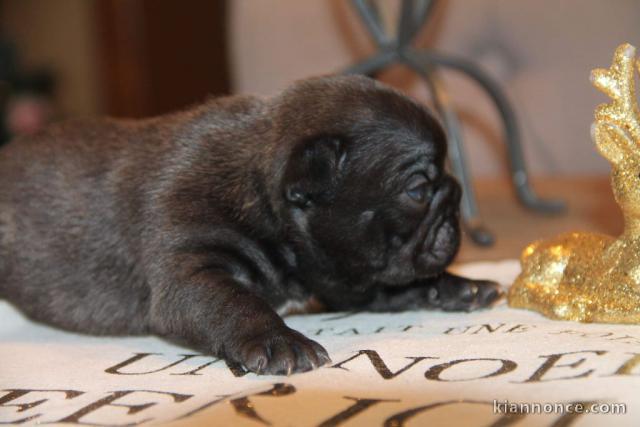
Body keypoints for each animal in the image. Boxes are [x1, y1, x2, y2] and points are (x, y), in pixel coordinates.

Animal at [0, 76, 500, 374]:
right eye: (418, 190)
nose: (456, 192)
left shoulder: (347, 280)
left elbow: (401, 287)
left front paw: (459, 287)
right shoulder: (191, 269)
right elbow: (233, 303)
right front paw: (280, 340)